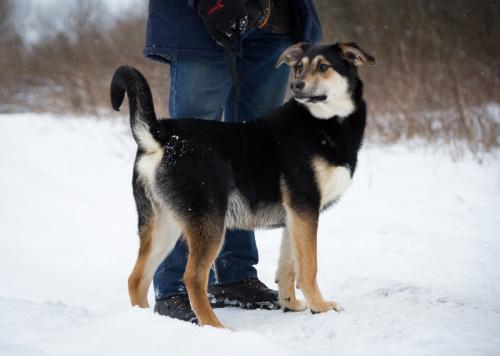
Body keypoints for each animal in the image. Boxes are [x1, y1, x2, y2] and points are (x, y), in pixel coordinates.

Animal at [110, 41, 376, 328]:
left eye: (324, 66)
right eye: (299, 67)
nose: (296, 85)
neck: (323, 122)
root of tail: (163, 137)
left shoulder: (295, 216)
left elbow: (289, 266)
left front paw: (290, 304)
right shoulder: (305, 206)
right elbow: (308, 268)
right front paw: (321, 307)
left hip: (163, 223)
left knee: (136, 278)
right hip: (208, 223)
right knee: (193, 278)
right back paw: (215, 327)